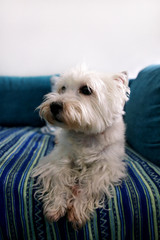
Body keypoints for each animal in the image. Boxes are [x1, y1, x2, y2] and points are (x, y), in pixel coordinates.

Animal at [32, 65, 129, 229]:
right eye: (62, 88)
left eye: (86, 90)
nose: (54, 105)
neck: (85, 134)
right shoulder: (58, 159)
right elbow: (59, 178)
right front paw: (55, 206)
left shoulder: (106, 166)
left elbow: (91, 185)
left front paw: (77, 210)